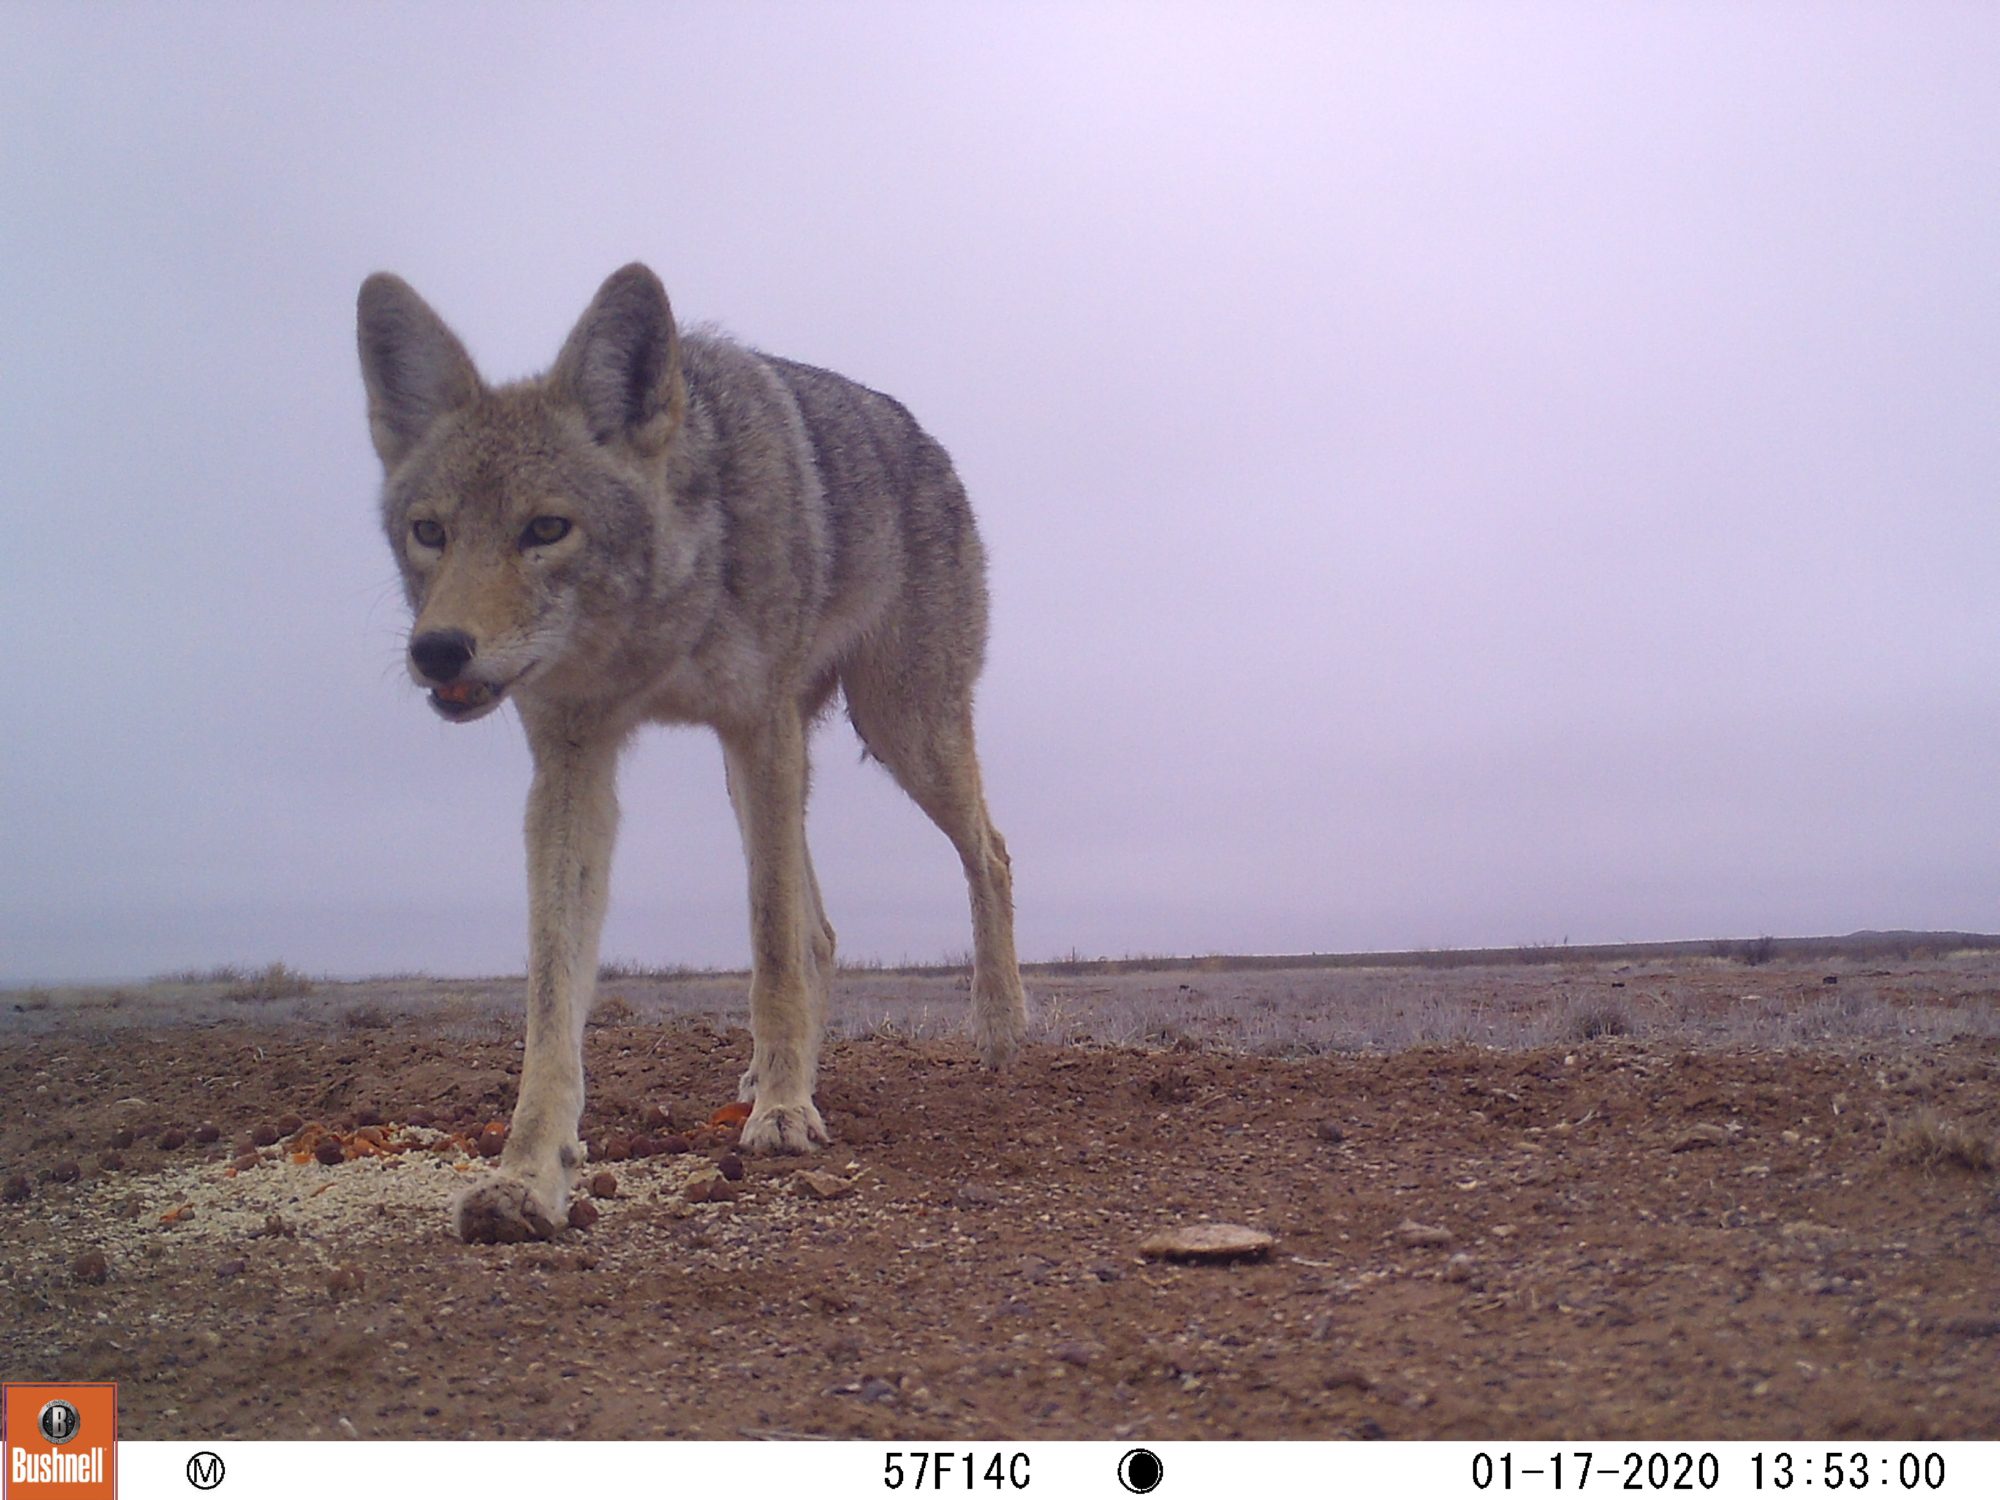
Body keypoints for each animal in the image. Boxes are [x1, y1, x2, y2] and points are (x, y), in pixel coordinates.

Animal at [356, 264, 1028, 1243]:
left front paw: (784, 1115)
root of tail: (921, 435)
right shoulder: (574, 767)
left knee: (989, 853)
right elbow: (552, 1000)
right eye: (431, 532)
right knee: (825, 930)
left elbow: (770, 944)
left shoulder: (757, 729)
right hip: (766, 777)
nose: (439, 650)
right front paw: (526, 1175)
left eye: (546, 529)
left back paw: (1000, 1028)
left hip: (901, 732)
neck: (656, 628)